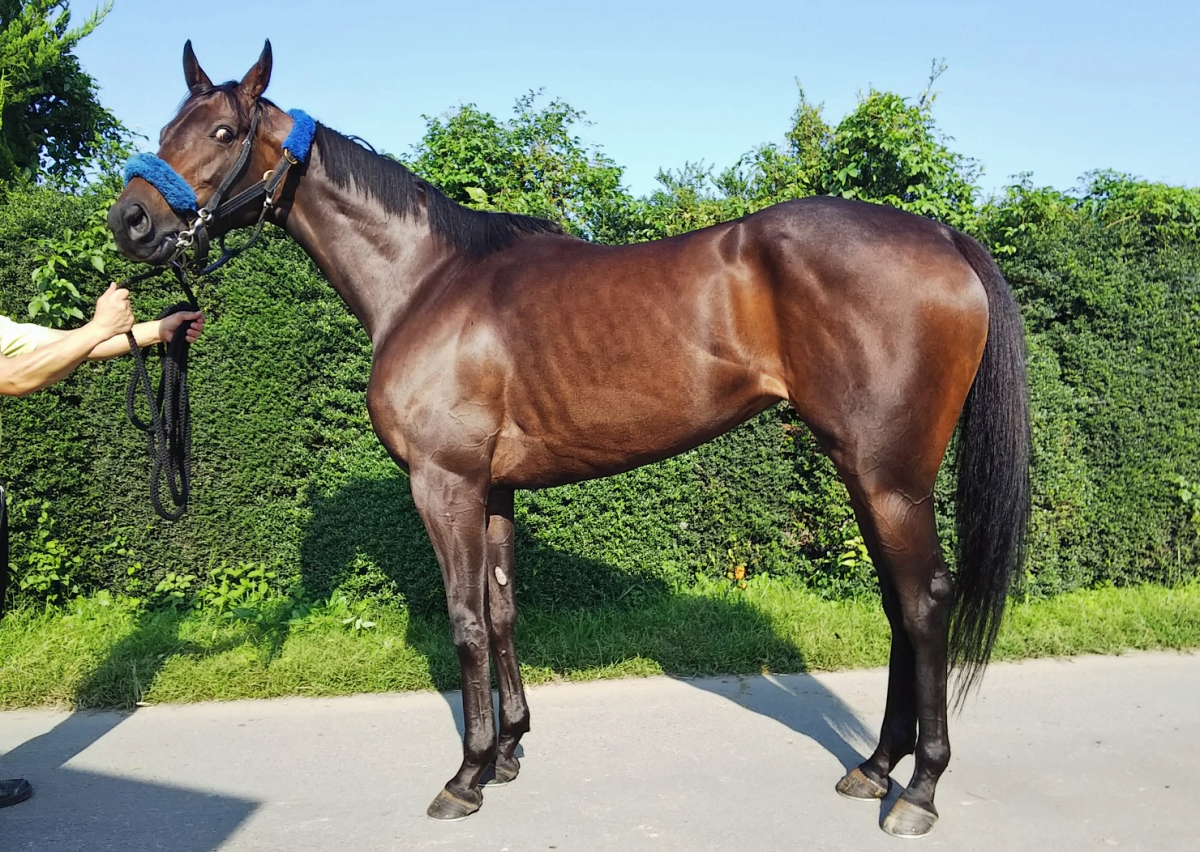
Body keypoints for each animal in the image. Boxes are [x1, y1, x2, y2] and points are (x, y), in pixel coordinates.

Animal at [108, 41, 1030, 838]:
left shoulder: (444, 483)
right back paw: (874, 768)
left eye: (222, 134)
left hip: (888, 476)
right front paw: (510, 750)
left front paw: (465, 775)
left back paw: (919, 790)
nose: (131, 222)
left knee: (924, 602)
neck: (427, 282)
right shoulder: (494, 489)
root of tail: (943, 236)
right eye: (166, 127)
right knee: (898, 606)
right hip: (862, 472)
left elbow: (465, 620)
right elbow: (503, 611)